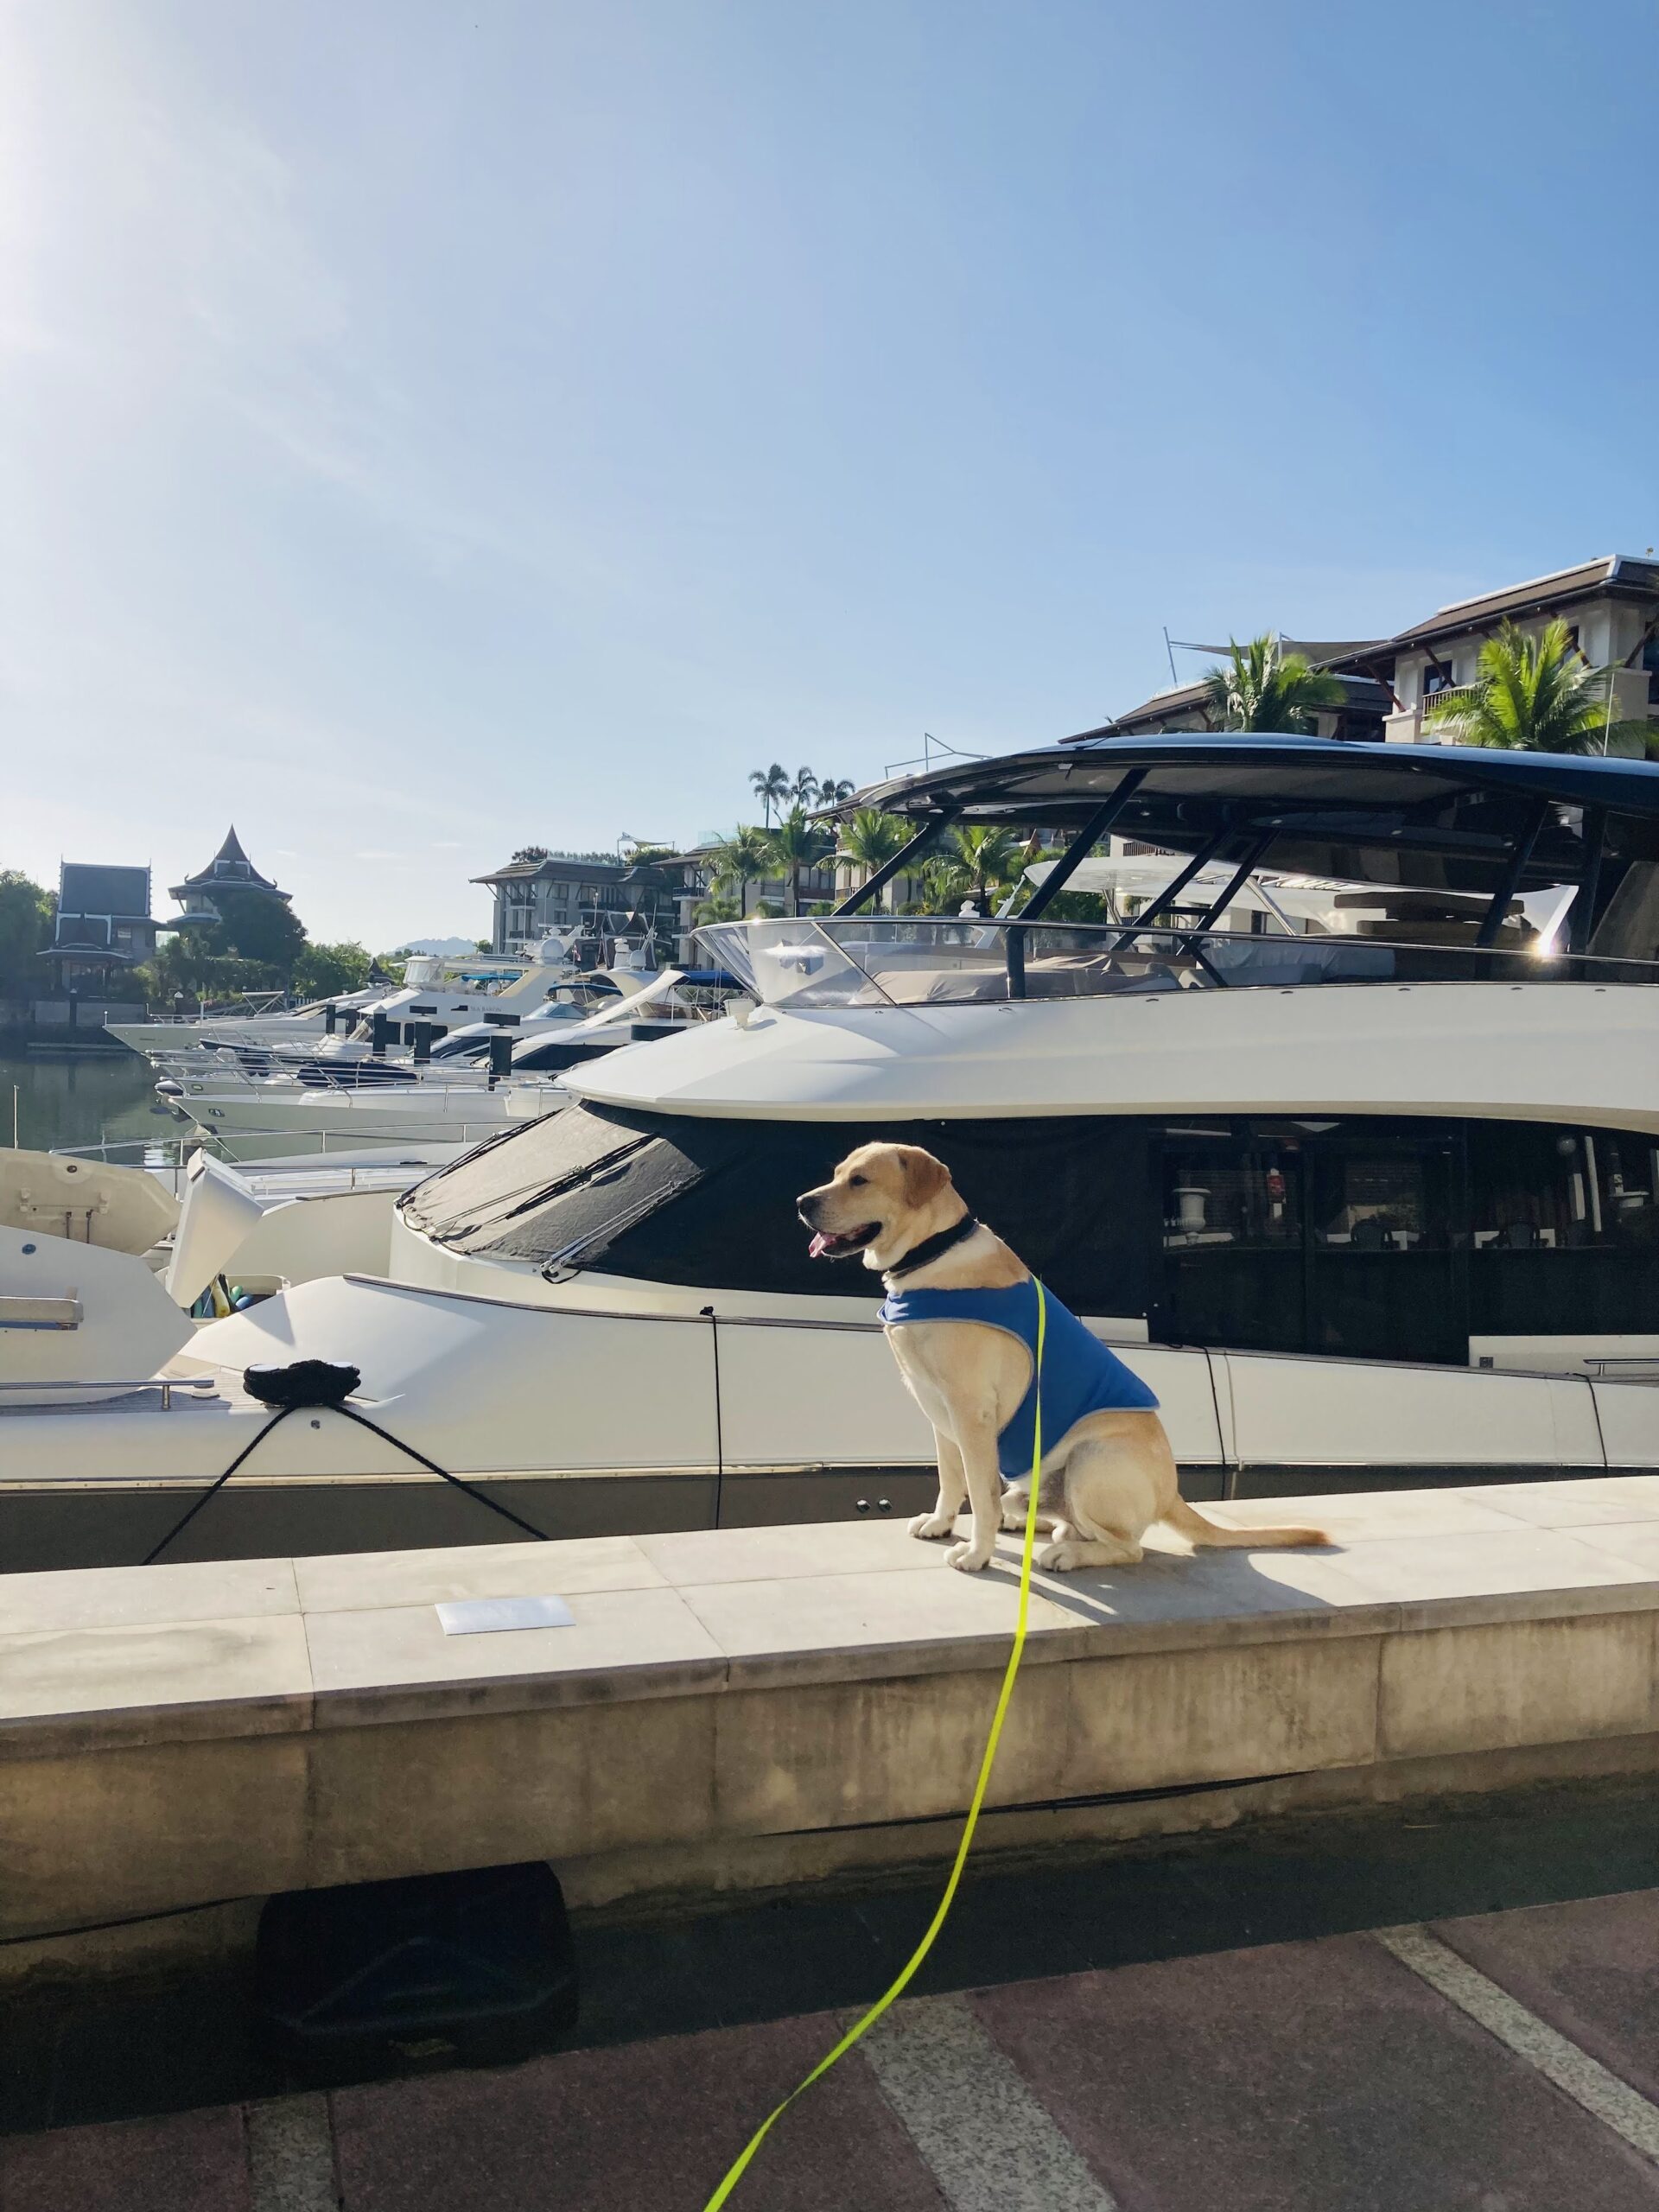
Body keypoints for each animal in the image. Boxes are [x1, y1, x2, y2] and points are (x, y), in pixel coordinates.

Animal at [800, 1141, 1336, 1574]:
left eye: (860, 1180)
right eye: (837, 1172)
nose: (803, 1203)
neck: (930, 1255)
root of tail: (1172, 1493)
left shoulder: (970, 1412)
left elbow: (977, 1491)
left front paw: (976, 1554)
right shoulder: (936, 1408)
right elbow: (951, 1479)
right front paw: (939, 1523)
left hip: (1091, 1458)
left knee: (1127, 1546)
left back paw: (1067, 1554)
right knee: (1053, 1516)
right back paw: (1044, 1529)